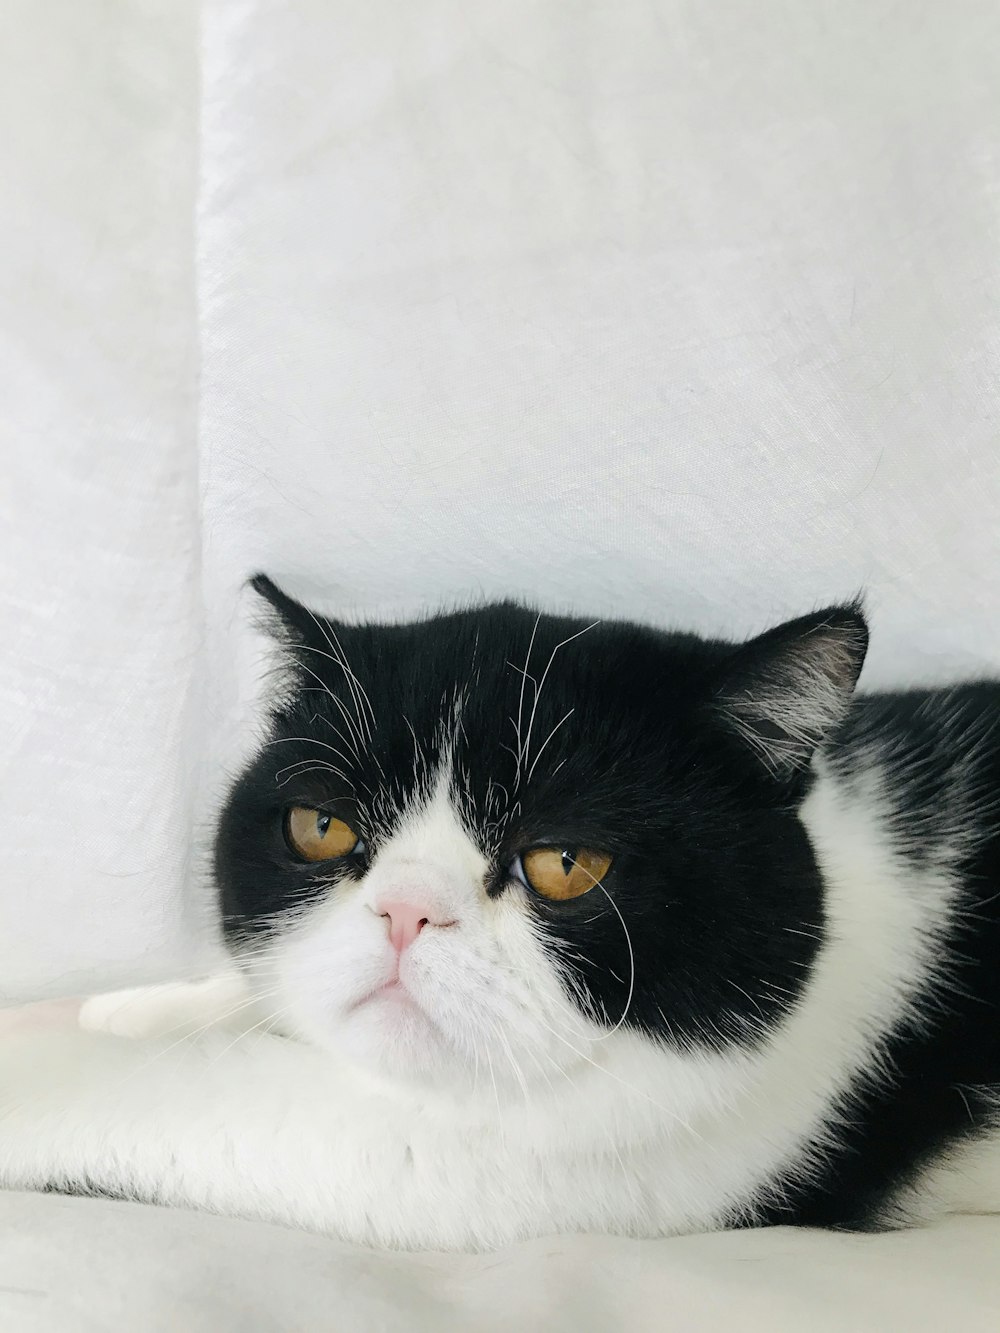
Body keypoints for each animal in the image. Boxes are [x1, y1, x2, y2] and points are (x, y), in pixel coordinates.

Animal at [0, 578, 997, 1253]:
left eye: (564, 863)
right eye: (321, 827)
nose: (405, 910)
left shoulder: (624, 1153)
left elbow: (196, 1099)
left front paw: (47, 1062)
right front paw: (120, 1007)